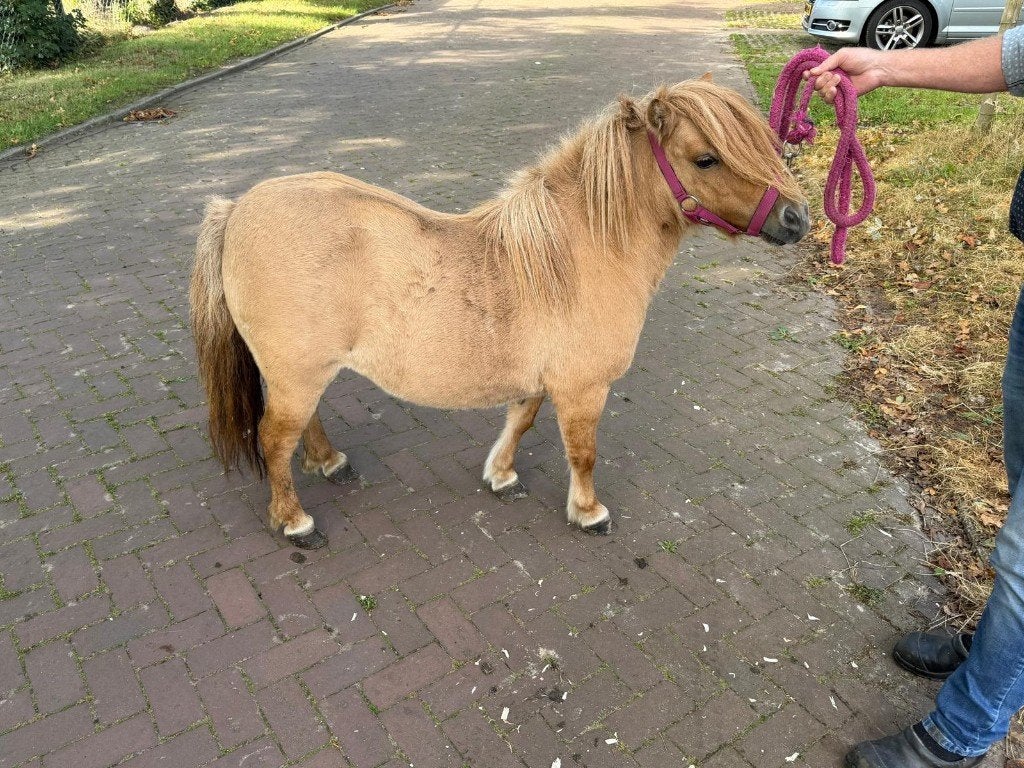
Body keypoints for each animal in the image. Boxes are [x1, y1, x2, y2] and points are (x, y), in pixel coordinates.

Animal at [190, 76, 810, 549]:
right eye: (706, 159)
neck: (577, 251)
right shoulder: (583, 388)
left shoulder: (538, 378)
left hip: (304, 372)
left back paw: (330, 461)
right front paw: (588, 512)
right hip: (296, 373)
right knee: (274, 439)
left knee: (301, 425)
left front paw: (503, 475)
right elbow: (583, 453)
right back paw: (295, 522)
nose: (797, 218)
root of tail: (237, 210)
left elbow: (521, 418)